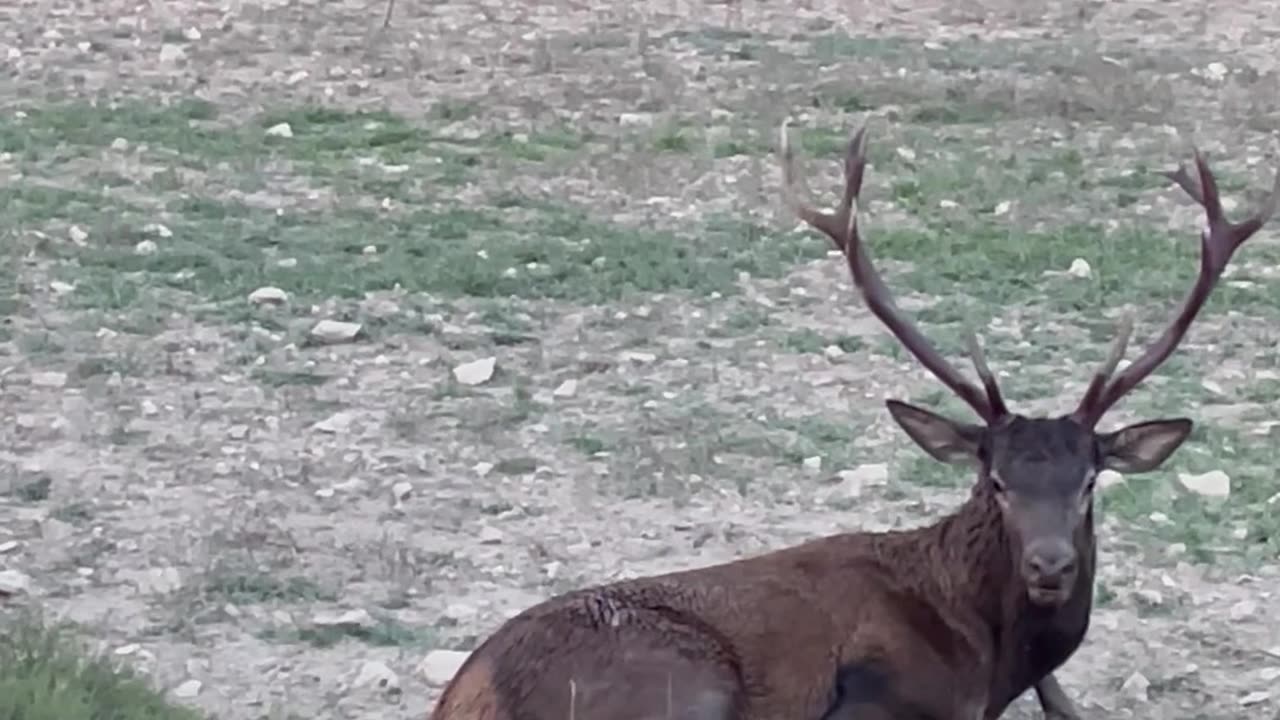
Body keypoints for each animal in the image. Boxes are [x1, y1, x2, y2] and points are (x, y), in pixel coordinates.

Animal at [432, 122, 1280, 717]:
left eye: (1090, 483)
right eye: (996, 482)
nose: (1050, 565)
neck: (993, 662)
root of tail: (466, 695)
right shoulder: (878, 696)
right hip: (676, 683)